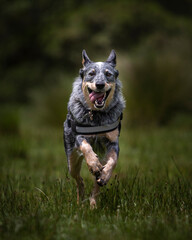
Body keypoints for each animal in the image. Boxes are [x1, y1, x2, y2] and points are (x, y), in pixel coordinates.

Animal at [63, 49, 125, 208]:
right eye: (91, 73)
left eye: (108, 74)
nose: (100, 84)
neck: (97, 115)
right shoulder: (79, 136)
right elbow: (86, 147)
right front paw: (93, 164)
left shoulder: (113, 142)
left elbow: (113, 161)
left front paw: (104, 175)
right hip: (71, 161)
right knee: (79, 180)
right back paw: (80, 201)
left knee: (96, 185)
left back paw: (93, 204)